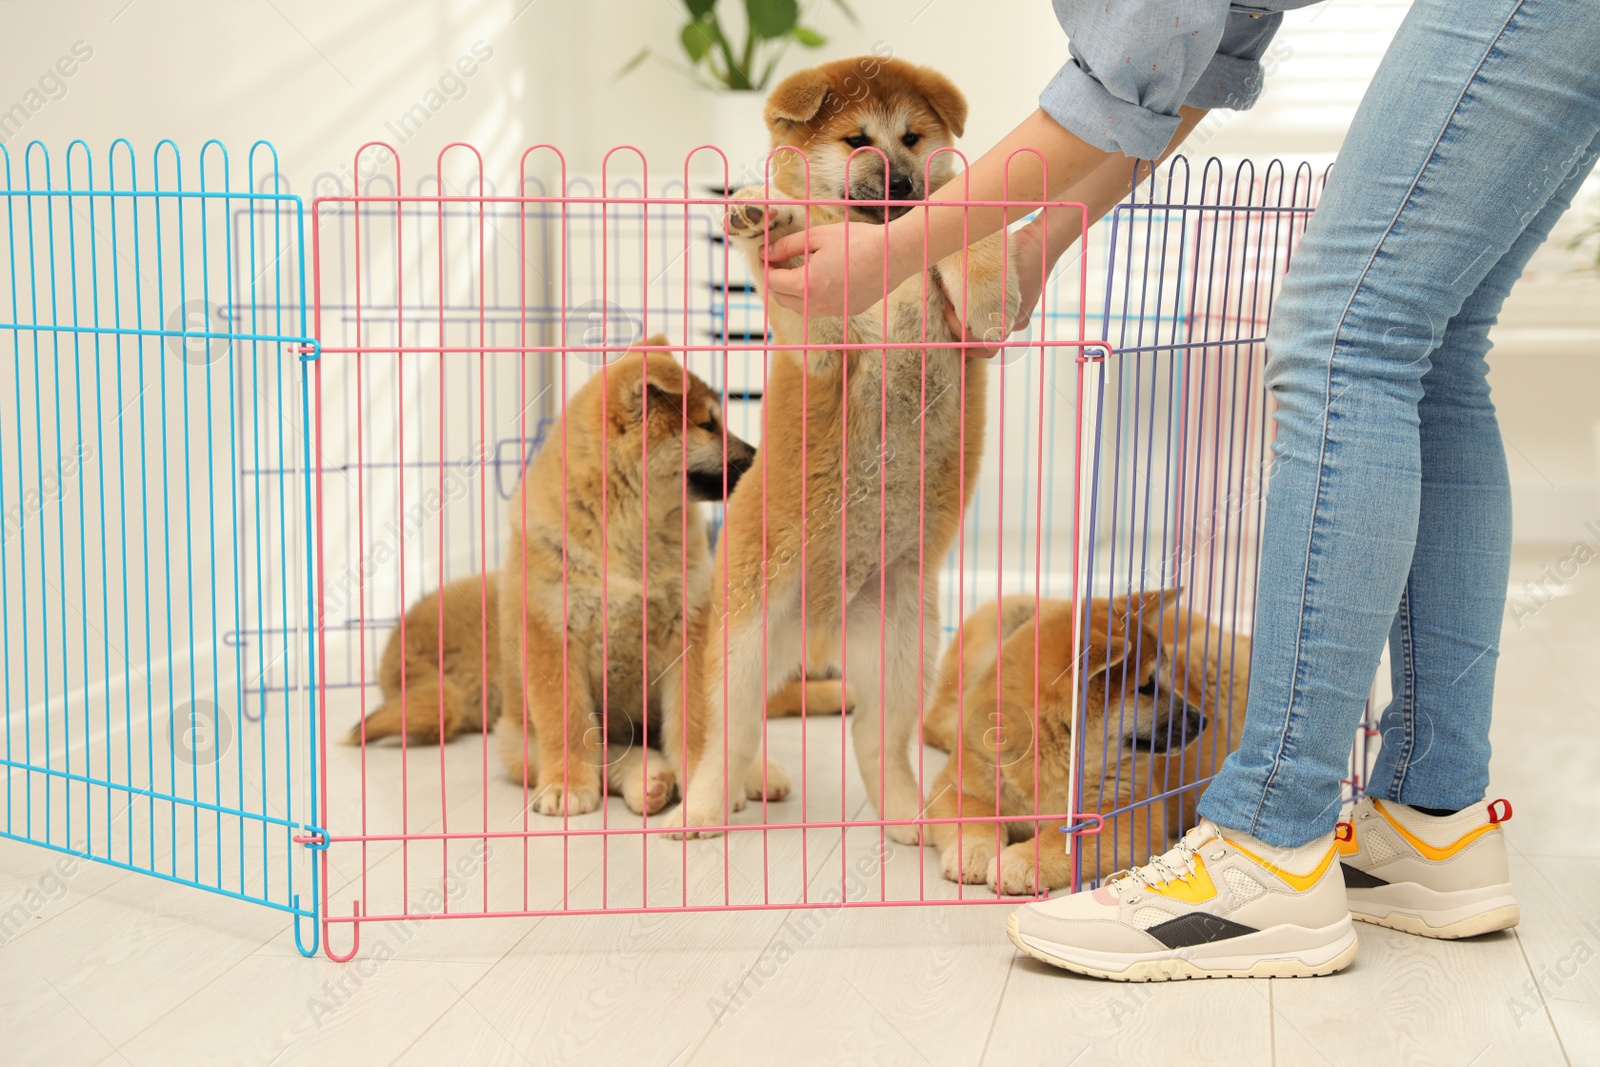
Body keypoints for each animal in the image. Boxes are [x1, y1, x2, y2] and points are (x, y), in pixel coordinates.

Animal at [665, 58, 1017, 844]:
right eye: (858, 141)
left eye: (912, 138)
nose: (902, 181)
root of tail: (821, 623)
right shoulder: (825, 349)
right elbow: (801, 282)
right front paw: (765, 216)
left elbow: (965, 228)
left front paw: (991, 283)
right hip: (745, 640)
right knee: (727, 739)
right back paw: (703, 807)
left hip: (902, 642)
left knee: (874, 740)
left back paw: (908, 815)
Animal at [928, 591, 1248, 895]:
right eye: (1146, 688)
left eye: (1168, 680)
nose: (1201, 720)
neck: (1051, 755)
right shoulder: (958, 786)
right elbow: (973, 816)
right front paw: (971, 851)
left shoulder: (1125, 811)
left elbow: (1062, 839)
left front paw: (1021, 861)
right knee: (934, 719)